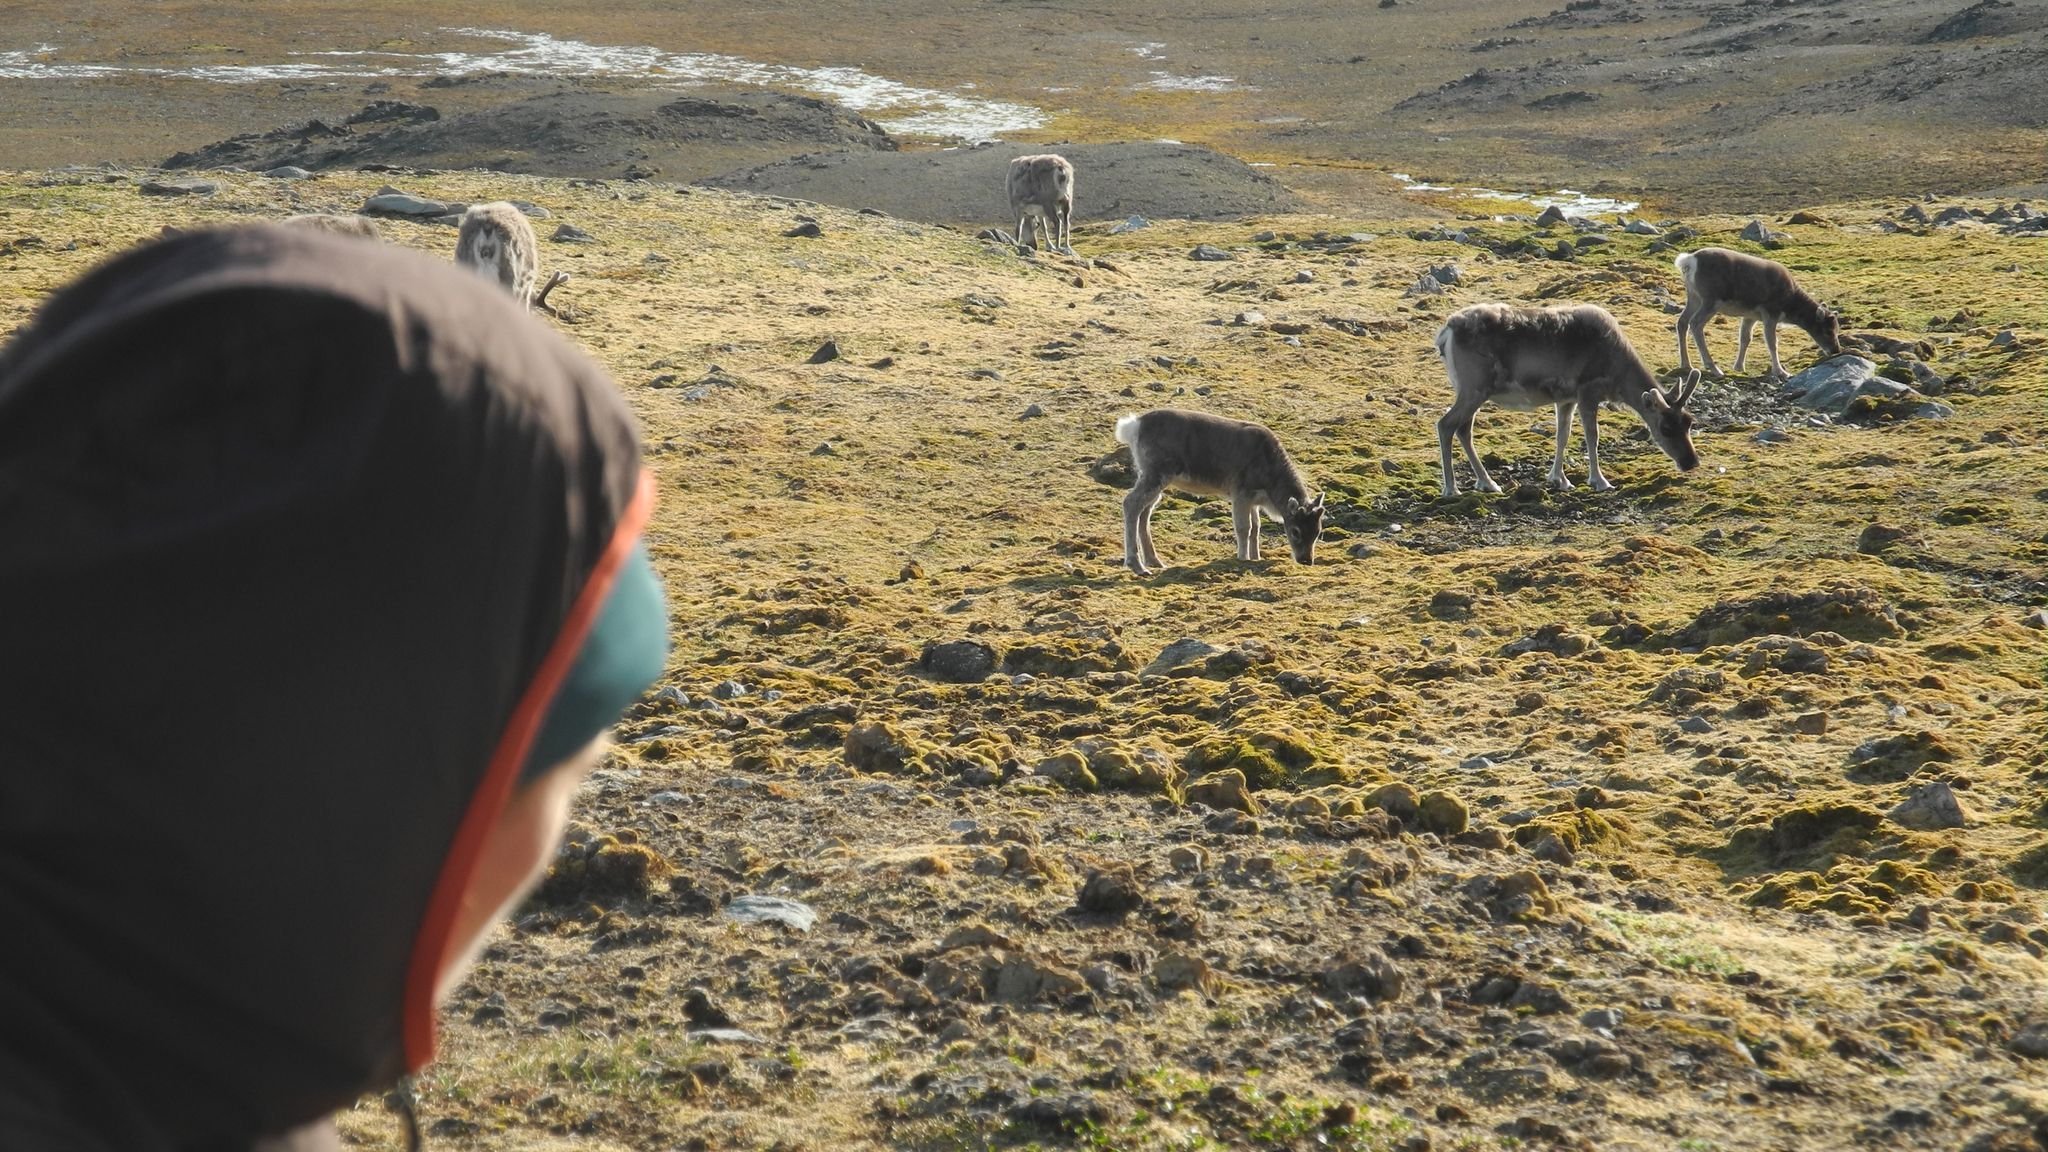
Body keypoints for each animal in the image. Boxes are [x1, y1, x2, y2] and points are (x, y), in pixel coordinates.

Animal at [1114, 408, 1325, 577]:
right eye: (1295, 531)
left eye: (1318, 531)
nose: (1306, 560)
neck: (1271, 486)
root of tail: (1134, 425)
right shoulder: (1240, 492)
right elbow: (1244, 527)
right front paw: (1243, 558)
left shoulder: (1253, 500)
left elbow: (1256, 528)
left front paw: (1256, 557)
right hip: (1156, 473)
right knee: (1131, 503)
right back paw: (1137, 565)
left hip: (1152, 476)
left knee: (1145, 510)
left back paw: (1154, 561)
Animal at [1434, 302, 1701, 497]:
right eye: (1665, 428)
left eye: (1689, 422)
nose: (1691, 462)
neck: (1617, 374)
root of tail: (1445, 333)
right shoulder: (1587, 392)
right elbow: (1592, 436)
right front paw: (1599, 480)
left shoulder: (1565, 399)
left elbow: (1563, 436)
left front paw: (1559, 479)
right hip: (1474, 388)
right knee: (1446, 424)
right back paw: (1452, 488)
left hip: (1473, 391)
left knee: (1463, 429)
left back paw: (1487, 482)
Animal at [1675, 247, 1841, 381]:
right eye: (1827, 330)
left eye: (1837, 329)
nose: (1836, 350)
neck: (1790, 305)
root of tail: (1689, 261)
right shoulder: (1770, 313)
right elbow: (1772, 342)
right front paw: (1781, 372)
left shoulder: (1750, 316)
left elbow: (1745, 339)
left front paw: (1739, 367)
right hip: (1711, 299)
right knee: (1695, 323)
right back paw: (1714, 368)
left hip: (1694, 297)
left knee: (1682, 322)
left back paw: (1686, 364)